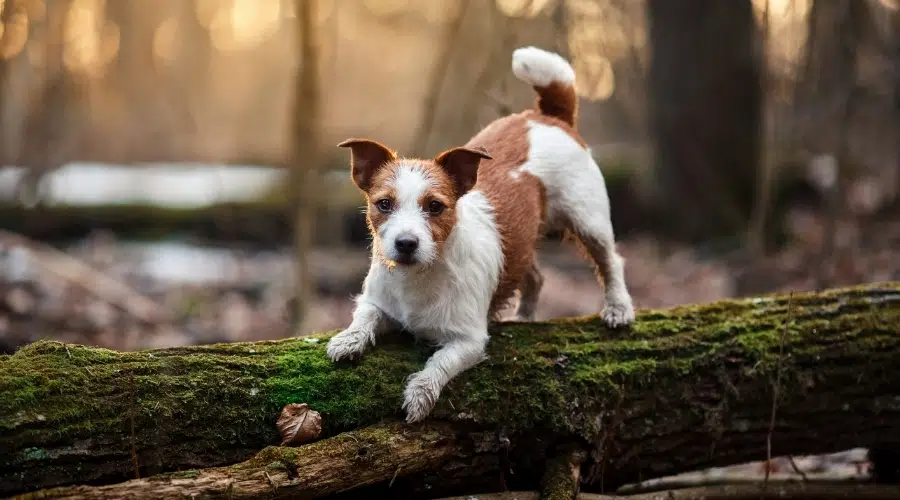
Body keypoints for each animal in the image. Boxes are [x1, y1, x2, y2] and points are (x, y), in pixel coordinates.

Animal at [328, 46, 632, 422]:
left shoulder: (468, 341)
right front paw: (348, 340)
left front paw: (420, 394)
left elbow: (440, 362)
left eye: (435, 206)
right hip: (523, 240)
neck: (420, 276)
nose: (406, 243)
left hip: (588, 218)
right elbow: (364, 316)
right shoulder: (376, 303)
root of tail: (547, 116)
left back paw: (618, 308)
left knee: (610, 260)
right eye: (384, 204)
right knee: (534, 276)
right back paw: (524, 317)